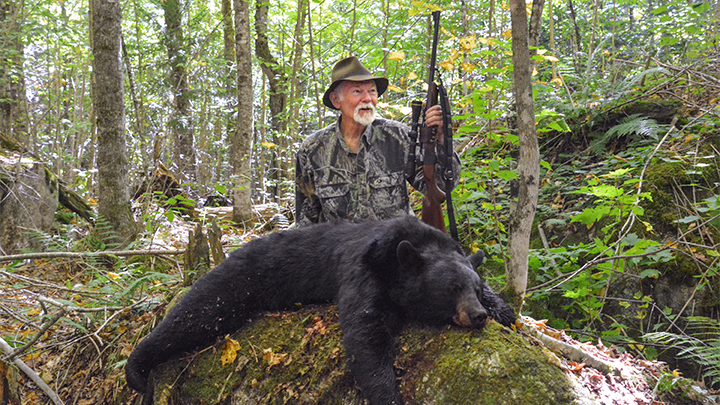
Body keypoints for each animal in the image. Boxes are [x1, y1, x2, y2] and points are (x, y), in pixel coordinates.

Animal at [125, 218, 516, 404]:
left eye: (474, 289)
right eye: (450, 289)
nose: (477, 314)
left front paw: (505, 310)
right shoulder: (364, 269)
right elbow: (366, 335)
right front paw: (388, 395)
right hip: (239, 280)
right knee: (197, 312)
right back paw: (137, 368)